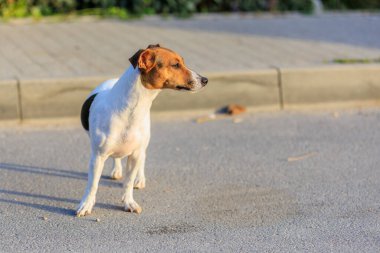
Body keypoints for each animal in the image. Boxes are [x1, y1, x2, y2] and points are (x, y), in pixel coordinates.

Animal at [76, 44, 209, 216]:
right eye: (175, 65)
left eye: (182, 62)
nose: (205, 80)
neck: (130, 110)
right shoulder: (97, 157)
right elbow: (92, 185)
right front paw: (86, 205)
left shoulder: (135, 154)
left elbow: (128, 182)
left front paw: (129, 202)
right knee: (116, 158)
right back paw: (116, 170)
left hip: (143, 145)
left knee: (142, 160)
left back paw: (140, 179)